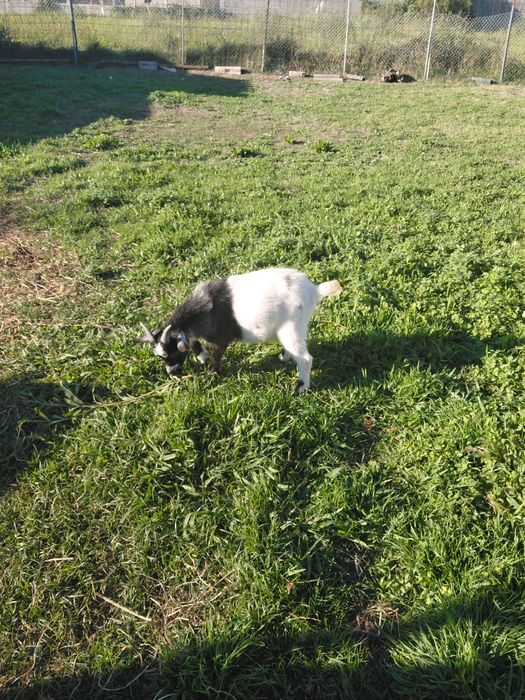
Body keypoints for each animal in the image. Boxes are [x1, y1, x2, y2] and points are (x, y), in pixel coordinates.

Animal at [137, 268, 342, 393]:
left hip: (292, 326)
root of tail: (313, 290)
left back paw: (301, 388)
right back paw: (284, 357)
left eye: (173, 352)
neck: (205, 307)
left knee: (305, 358)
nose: (171, 372)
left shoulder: (221, 339)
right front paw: (202, 357)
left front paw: (213, 374)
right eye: (161, 356)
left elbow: (216, 356)